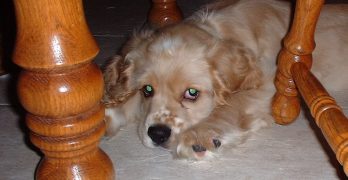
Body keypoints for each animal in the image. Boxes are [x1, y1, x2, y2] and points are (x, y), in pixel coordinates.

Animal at [102, 0, 348, 160]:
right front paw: (102, 116)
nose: (158, 134)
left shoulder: (272, 81)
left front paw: (199, 135)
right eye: (147, 90)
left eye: (192, 93)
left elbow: (233, 101)